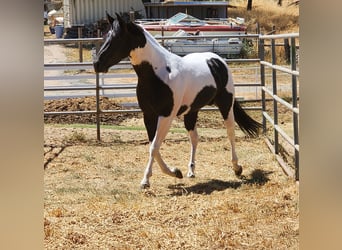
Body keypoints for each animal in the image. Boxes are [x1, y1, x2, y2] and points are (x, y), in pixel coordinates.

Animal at [94, 12, 262, 188]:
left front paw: (146, 180)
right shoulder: (149, 115)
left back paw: (237, 167)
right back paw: (191, 171)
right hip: (192, 111)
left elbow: (154, 146)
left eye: (117, 38)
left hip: (226, 105)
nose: (96, 64)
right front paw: (175, 172)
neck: (158, 73)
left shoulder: (166, 116)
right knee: (194, 137)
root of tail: (217, 60)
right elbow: (153, 145)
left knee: (230, 132)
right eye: (105, 36)